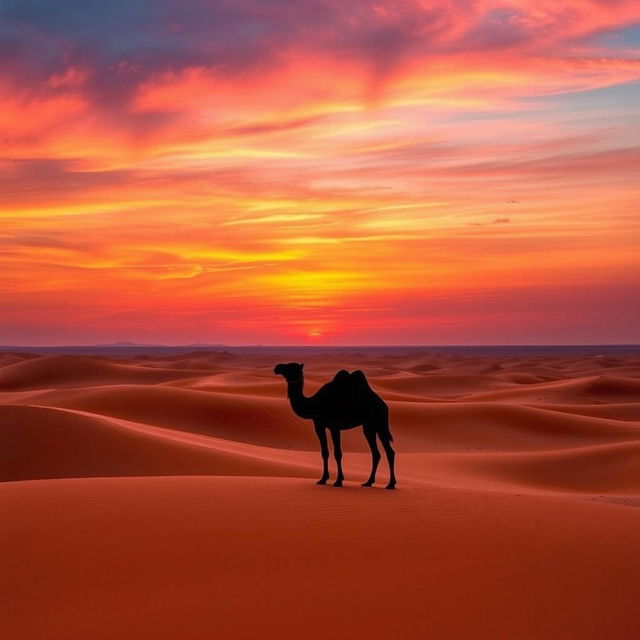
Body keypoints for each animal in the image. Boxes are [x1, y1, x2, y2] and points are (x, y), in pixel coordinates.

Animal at [274, 360, 398, 490]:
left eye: (291, 367)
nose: (277, 367)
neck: (314, 404)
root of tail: (384, 405)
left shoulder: (334, 426)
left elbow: (337, 453)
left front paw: (338, 481)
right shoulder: (319, 425)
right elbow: (324, 452)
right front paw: (323, 479)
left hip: (380, 423)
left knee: (389, 451)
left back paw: (390, 484)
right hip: (369, 426)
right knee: (376, 453)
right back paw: (368, 482)